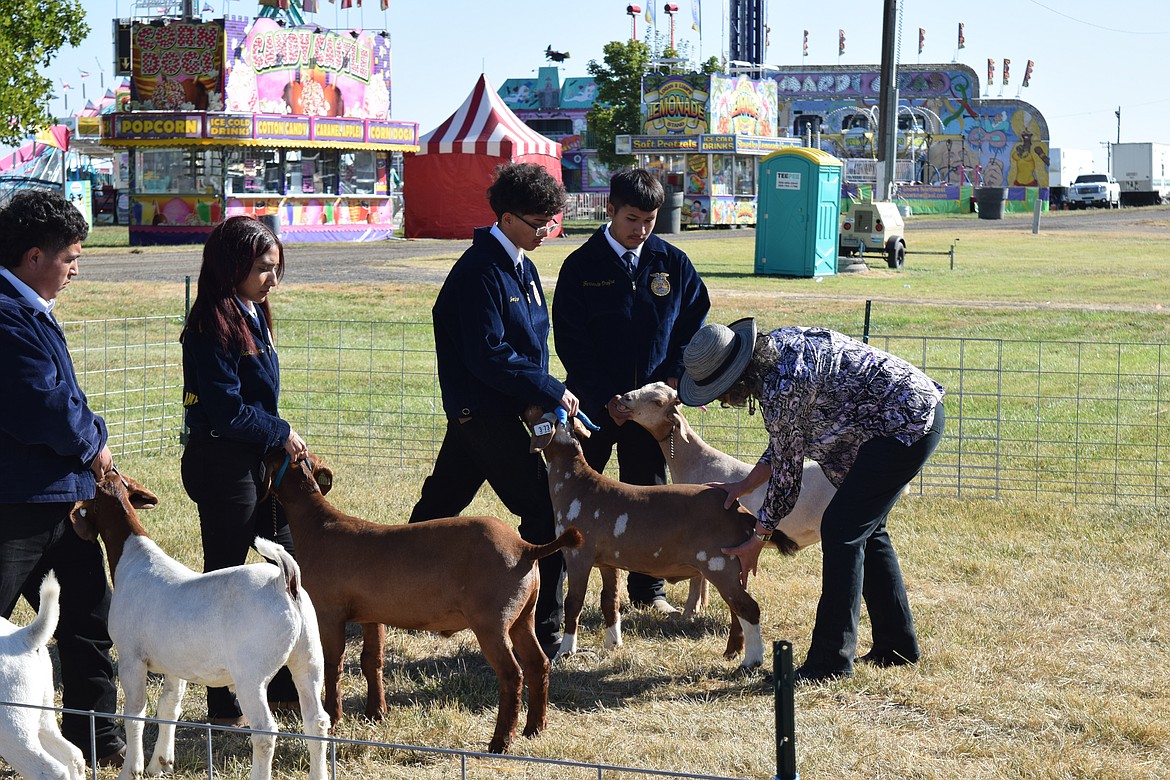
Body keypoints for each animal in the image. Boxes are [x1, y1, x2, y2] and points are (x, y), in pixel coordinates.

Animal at [69, 470, 329, 780]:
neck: (131, 559)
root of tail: (285, 581)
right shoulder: (174, 665)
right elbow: (168, 708)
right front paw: (160, 764)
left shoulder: (132, 657)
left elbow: (135, 714)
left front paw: (132, 769)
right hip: (308, 657)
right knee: (317, 721)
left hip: (251, 673)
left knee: (265, 732)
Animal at [260, 451, 580, 757]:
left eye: (276, 455)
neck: (318, 526)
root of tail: (525, 548)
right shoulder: (371, 614)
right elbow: (371, 660)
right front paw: (376, 713)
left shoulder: (330, 613)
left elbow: (333, 664)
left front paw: (335, 718)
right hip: (523, 617)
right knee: (538, 663)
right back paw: (535, 728)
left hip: (492, 622)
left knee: (512, 674)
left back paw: (500, 742)